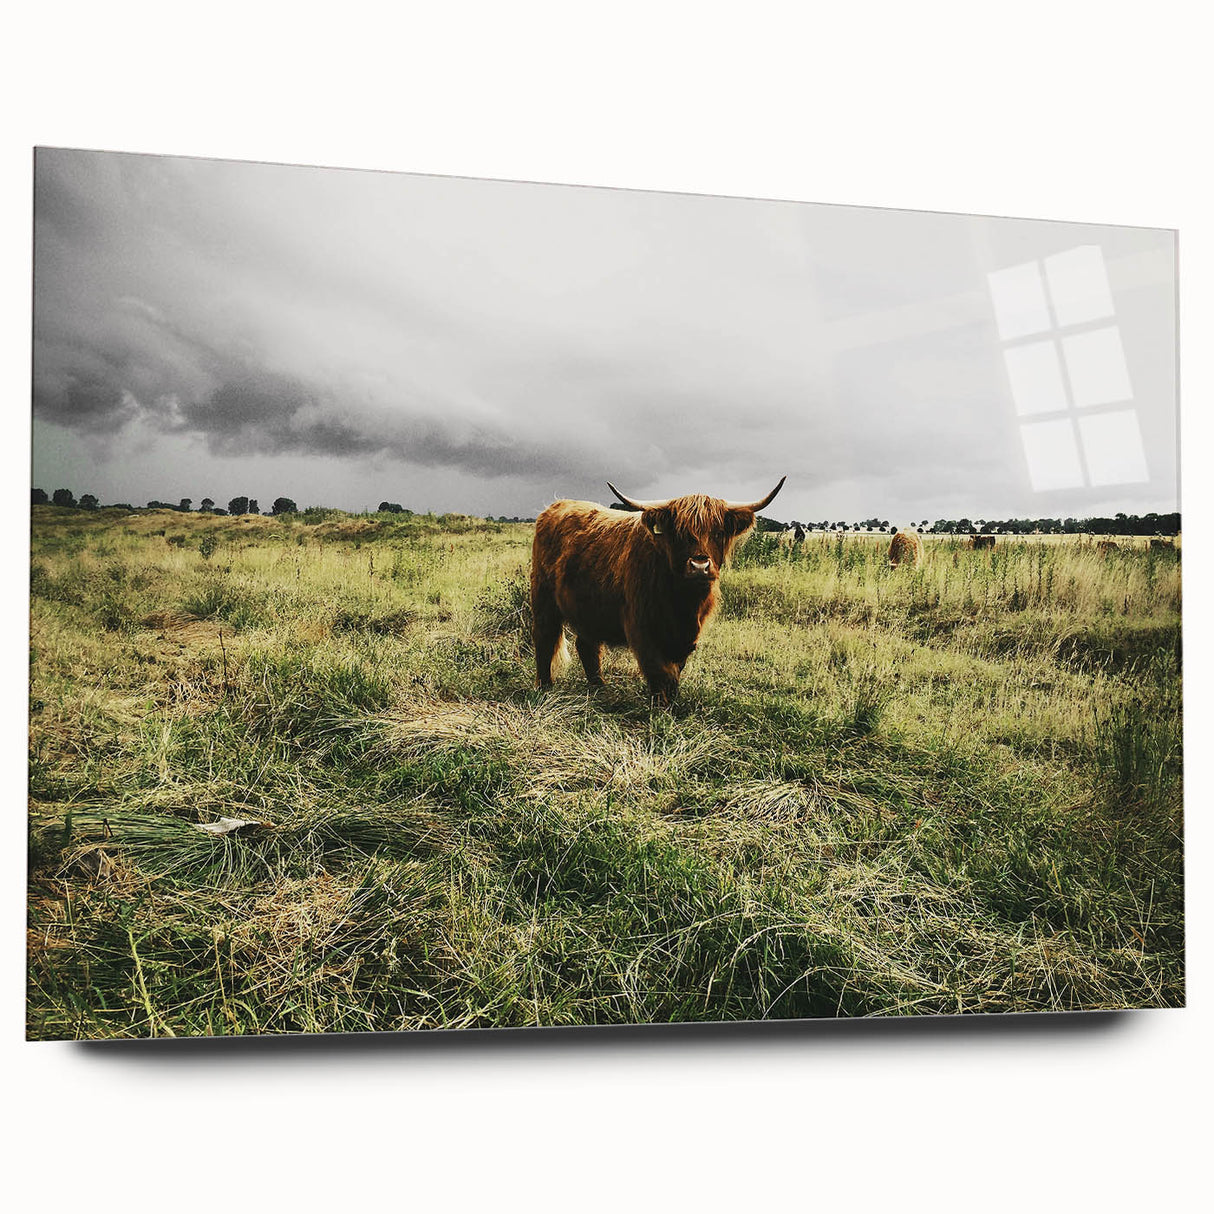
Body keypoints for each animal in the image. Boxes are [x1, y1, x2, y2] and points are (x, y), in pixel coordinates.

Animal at [531, 476, 786, 704]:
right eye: (680, 533)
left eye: (718, 532)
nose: (699, 566)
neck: (683, 604)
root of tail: (556, 505)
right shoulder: (642, 628)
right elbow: (658, 670)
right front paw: (661, 708)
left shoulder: (687, 636)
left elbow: (675, 671)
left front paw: (671, 703)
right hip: (543, 598)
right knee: (545, 638)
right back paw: (545, 688)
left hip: (588, 608)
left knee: (587, 645)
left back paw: (599, 688)